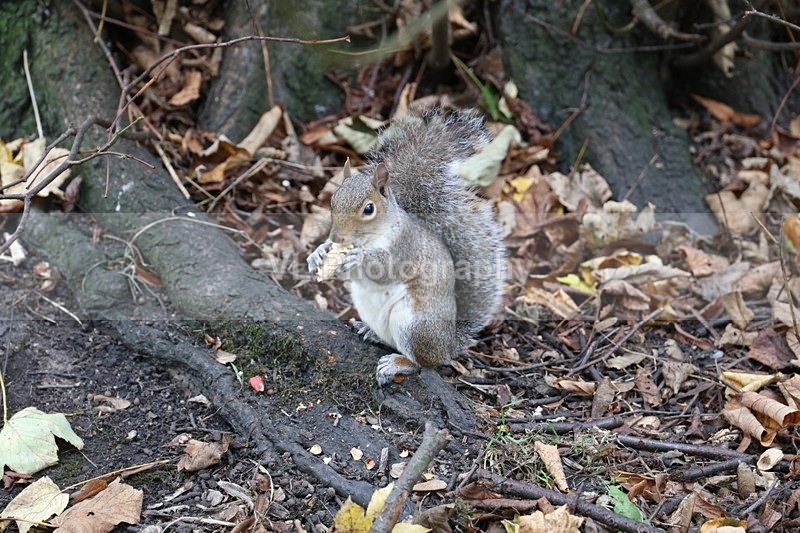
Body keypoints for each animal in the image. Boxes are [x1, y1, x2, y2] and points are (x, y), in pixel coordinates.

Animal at [307, 109, 505, 385]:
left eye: (369, 209)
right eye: (333, 201)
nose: (336, 237)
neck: (372, 236)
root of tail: (448, 345)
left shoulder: (406, 247)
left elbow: (387, 270)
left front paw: (358, 257)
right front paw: (317, 254)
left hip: (413, 325)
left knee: (424, 363)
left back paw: (397, 364)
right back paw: (369, 331)